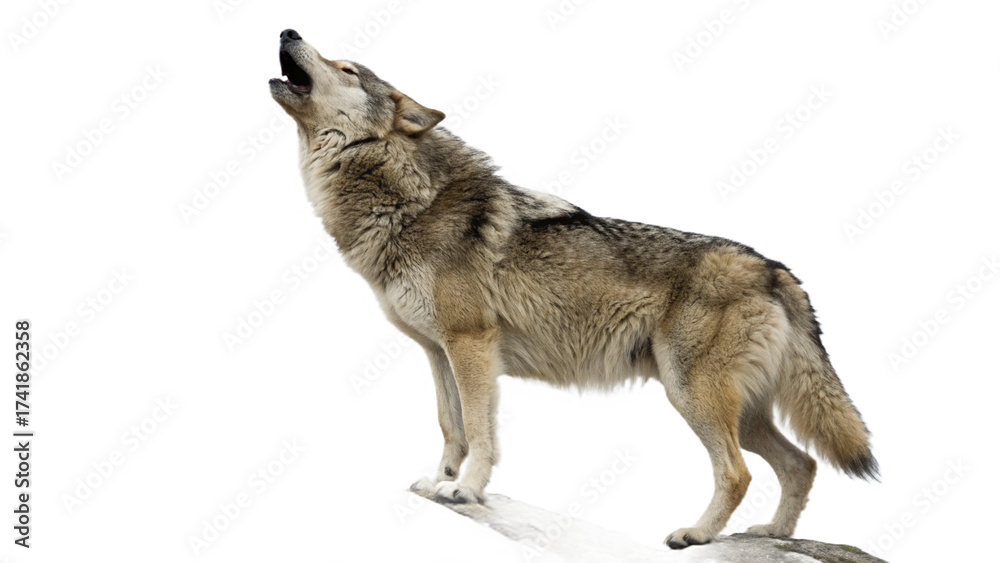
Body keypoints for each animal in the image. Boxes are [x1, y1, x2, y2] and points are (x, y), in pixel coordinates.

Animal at [269, 28, 878, 549]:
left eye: (346, 67)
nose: (287, 30)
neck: (405, 199)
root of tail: (775, 268)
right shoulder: (437, 351)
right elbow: (451, 425)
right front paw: (439, 481)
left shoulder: (472, 344)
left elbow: (481, 430)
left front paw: (466, 489)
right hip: (738, 408)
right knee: (802, 463)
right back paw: (774, 534)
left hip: (691, 394)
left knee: (739, 471)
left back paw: (697, 535)